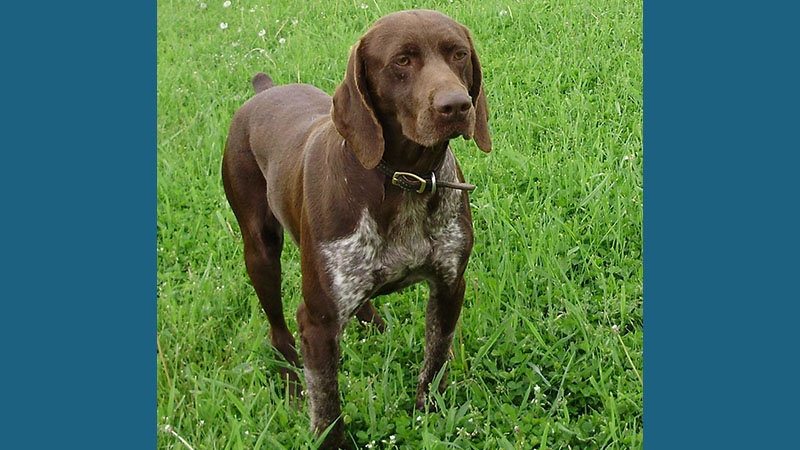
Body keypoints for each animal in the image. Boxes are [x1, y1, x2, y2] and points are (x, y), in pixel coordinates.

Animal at [222, 9, 490, 446]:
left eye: (459, 54)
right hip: (260, 251)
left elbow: (434, 362)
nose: (456, 105)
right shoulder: (317, 323)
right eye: (402, 61)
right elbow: (327, 406)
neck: (403, 179)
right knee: (278, 328)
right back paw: (290, 380)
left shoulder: (450, 286)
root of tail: (265, 90)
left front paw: (428, 414)